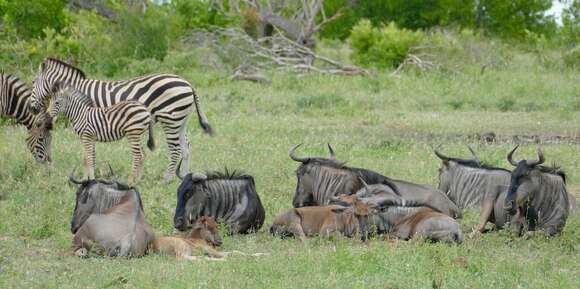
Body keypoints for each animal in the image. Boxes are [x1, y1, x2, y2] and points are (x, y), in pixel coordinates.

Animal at [30, 57, 213, 181]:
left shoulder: (92, 120)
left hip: (170, 119)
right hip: (181, 120)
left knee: (175, 150)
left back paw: (166, 179)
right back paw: (184, 176)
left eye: (33, 82)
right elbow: (90, 154)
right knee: (186, 147)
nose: (32, 109)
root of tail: (188, 83)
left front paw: (88, 178)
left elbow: (89, 154)